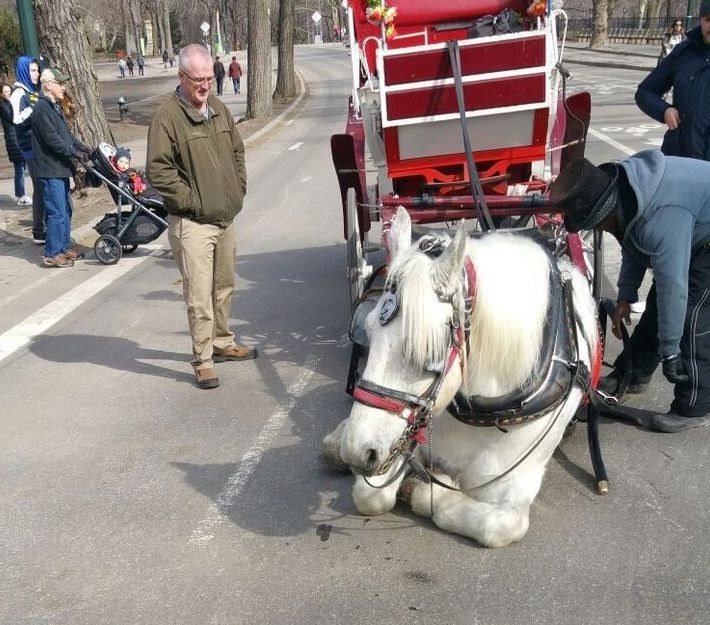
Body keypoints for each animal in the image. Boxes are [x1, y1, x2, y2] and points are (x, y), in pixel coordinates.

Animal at [322, 208, 600, 544]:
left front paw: (421, 488)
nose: (358, 452)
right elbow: (369, 497)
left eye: (427, 355)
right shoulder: (411, 436)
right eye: (366, 332)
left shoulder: (515, 488)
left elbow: (499, 526)